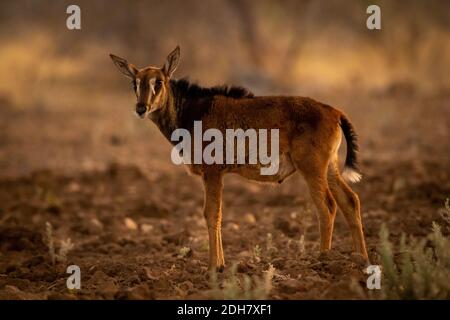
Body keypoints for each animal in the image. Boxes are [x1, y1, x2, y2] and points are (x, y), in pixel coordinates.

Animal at [110, 46, 370, 272]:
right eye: (135, 83)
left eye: (159, 82)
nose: (141, 108)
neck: (193, 112)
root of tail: (335, 113)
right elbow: (218, 213)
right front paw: (222, 265)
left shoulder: (212, 171)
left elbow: (211, 213)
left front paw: (213, 267)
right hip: (330, 167)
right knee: (350, 200)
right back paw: (361, 259)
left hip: (312, 168)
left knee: (327, 206)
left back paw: (323, 260)